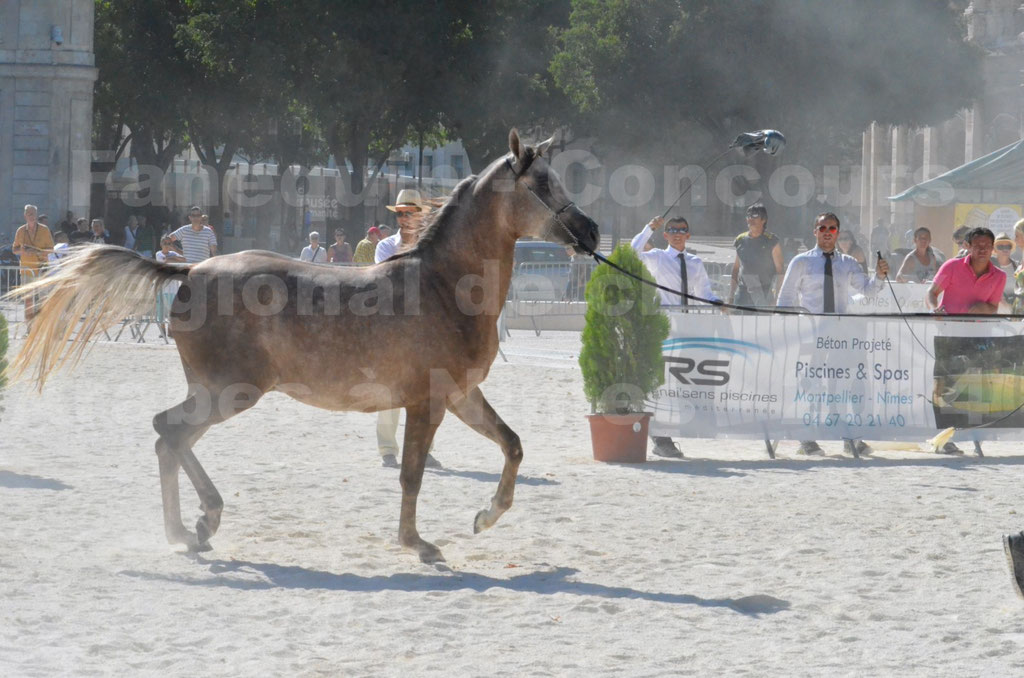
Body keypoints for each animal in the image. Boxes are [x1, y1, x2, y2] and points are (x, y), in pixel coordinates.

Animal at [8, 130, 598, 565]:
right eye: (541, 183)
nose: (591, 232)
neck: (443, 285)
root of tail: (190, 268)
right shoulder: (426, 402)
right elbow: (411, 474)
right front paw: (418, 544)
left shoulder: (460, 396)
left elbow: (512, 445)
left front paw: (486, 516)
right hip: (232, 392)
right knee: (169, 431)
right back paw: (194, 526)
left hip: (219, 392)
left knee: (169, 437)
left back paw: (194, 527)